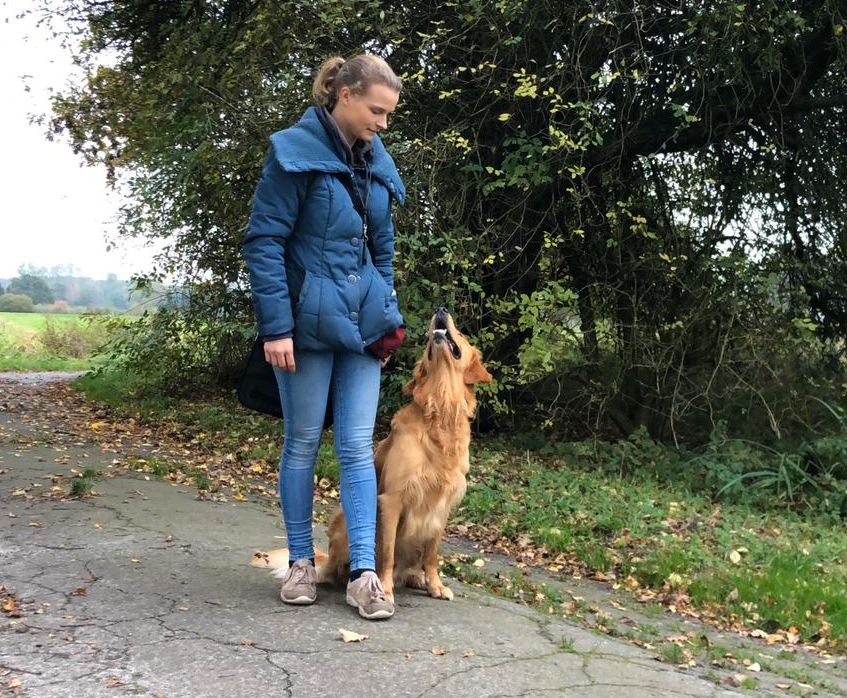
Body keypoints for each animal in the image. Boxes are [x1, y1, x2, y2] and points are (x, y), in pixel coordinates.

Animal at [251, 307, 493, 603]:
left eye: (461, 335)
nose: (441, 310)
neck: (440, 409)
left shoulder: (442, 506)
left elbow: (432, 554)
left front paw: (435, 585)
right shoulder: (392, 500)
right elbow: (387, 552)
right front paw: (384, 589)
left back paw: (417, 579)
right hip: (343, 522)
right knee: (344, 568)